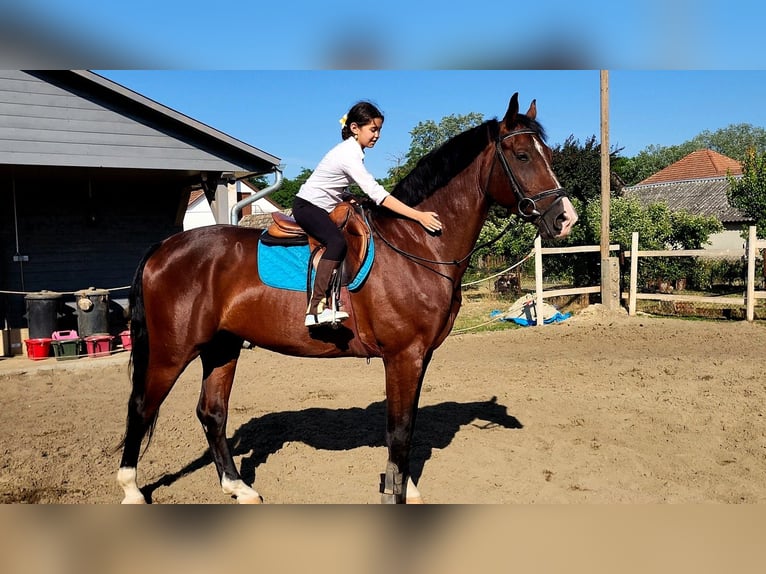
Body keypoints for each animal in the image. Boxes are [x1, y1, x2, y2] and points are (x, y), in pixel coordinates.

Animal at [116, 93, 578, 504]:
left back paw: (238, 487)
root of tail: (164, 248)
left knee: (211, 412)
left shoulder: (419, 356)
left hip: (222, 346)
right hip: (172, 351)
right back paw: (132, 490)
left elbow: (406, 426)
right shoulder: (403, 355)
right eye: (522, 155)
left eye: (549, 154)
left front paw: (405, 486)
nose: (565, 219)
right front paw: (397, 492)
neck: (416, 245)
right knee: (141, 408)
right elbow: (399, 430)